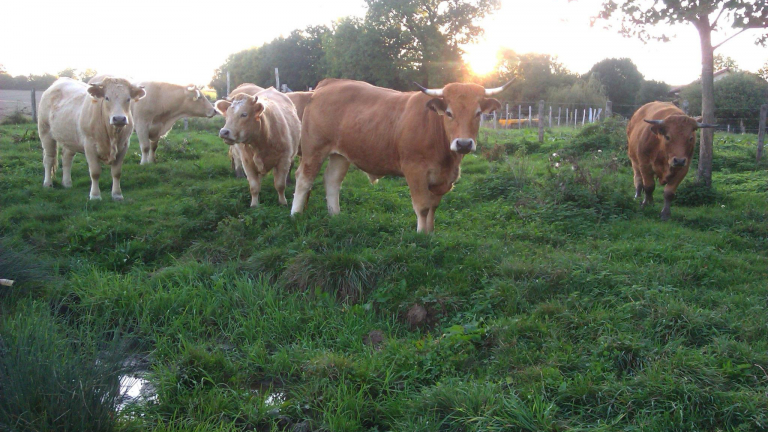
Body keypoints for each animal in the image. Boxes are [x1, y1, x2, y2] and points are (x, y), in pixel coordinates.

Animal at [288, 77, 510, 233]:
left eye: (478, 113)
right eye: (449, 113)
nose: (464, 143)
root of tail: (328, 84)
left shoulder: (441, 178)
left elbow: (433, 207)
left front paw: (431, 233)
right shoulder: (415, 171)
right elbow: (422, 206)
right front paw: (421, 235)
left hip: (340, 154)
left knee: (332, 181)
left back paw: (335, 215)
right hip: (314, 149)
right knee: (304, 179)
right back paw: (295, 214)